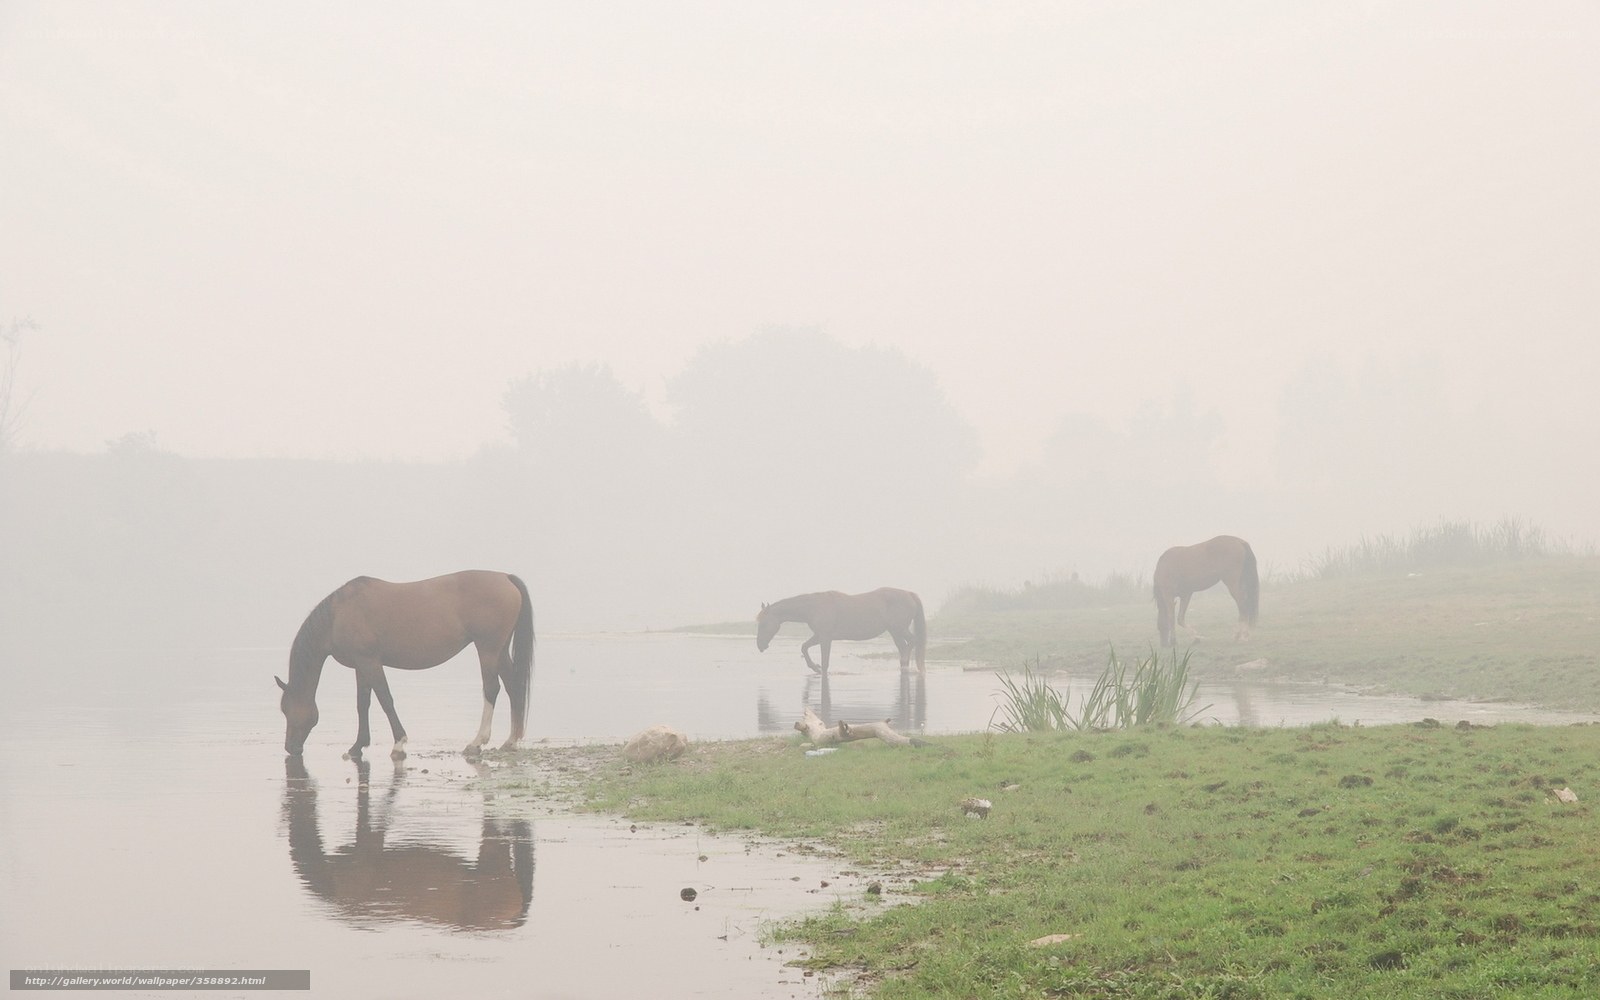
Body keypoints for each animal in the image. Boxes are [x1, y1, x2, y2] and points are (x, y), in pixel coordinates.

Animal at [275, 570, 534, 759]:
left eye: (287, 709)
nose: (290, 748)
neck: (338, 614)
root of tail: (505, 578)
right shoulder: (361, 666)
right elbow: (363, 704)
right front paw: (357, 746)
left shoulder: (370, 662)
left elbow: (385, 700)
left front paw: (399, 744)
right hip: (500, 651)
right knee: (513, 687)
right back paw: (510, 741)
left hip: (487, 649)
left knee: (492, 689)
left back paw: (477, 742)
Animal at [755, 587, 926, 675]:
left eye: (763, 624)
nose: (760, 645)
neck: (813, 607)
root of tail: (910, 594)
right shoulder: (819, 636)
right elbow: (804, 647)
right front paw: (814, 667)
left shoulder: (825, 638)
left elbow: (825, 663)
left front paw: (819, 669)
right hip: (894, 631)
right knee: (903, 646)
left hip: (899, 628)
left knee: (912, 642)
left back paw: (905, 664)